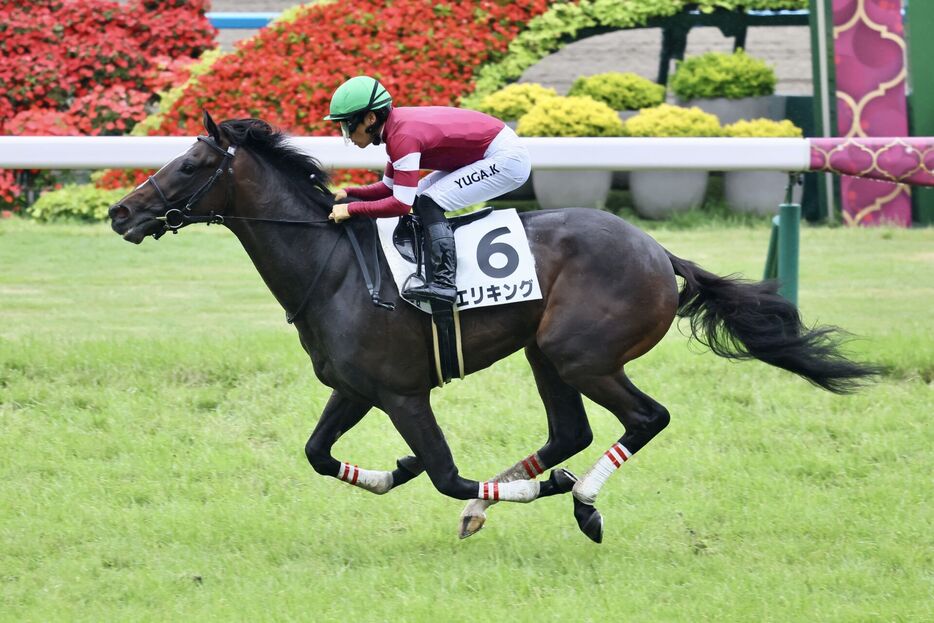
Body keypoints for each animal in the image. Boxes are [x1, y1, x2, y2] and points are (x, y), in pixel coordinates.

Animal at [108, 114, 876, 544]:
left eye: (192, 163)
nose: (121, 212)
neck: (333, 266)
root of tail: (660, 253)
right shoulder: (354, 387)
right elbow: (319, 454)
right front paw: (397, 470)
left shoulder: (403, 393)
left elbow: (447, 475)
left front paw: (526, 490)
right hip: (545, 353)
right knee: (569, 432)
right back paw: (516, 500)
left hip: (581, 353)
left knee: (645, 417)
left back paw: (582, 501)